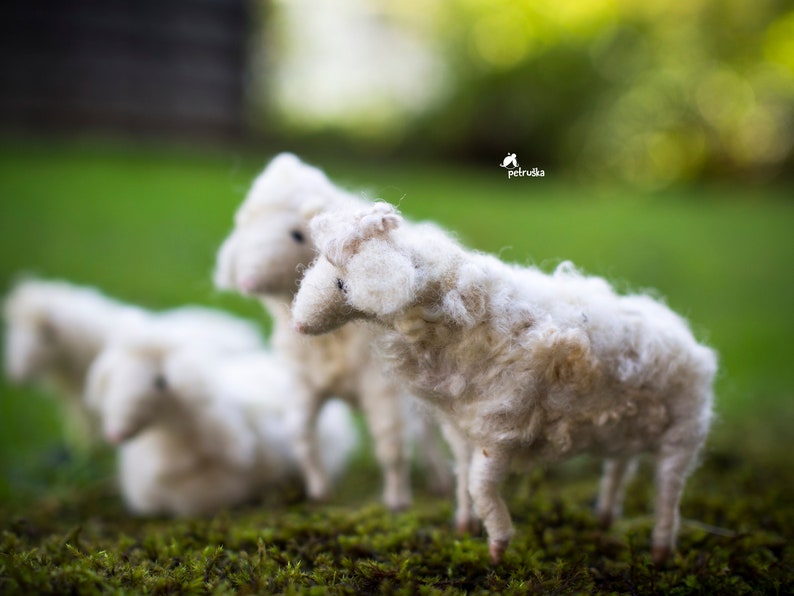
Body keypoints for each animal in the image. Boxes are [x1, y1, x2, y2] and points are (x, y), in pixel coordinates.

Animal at [2, 280, 262, 452]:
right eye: (13, 333)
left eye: (44, 338)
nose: (15, 376)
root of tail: (241, 327)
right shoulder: (79, 404)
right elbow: (84, 431)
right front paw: (85, 454)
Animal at [213, 152, 454, 508]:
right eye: (245, 227)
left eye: (297, 235)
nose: (248, 281)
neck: (329, 341)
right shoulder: (303, 385)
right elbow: (301, 438)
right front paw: (319, 492)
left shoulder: (380, 388)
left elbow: (392, 447)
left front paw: (396, 502)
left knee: (425, 437)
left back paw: (440, 483)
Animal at [292, 200, 716, 564]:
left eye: (343, 284)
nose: (298, 325)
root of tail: (693, 342)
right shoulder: (460, 429)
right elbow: (462, 477)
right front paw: (463, 528)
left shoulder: (499, 431)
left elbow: (480, 487)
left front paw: (497, 548)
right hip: (625, 430)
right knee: (619, 469)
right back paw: (605, 519)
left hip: (682, 436)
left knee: (668, 492)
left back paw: (661, 550)